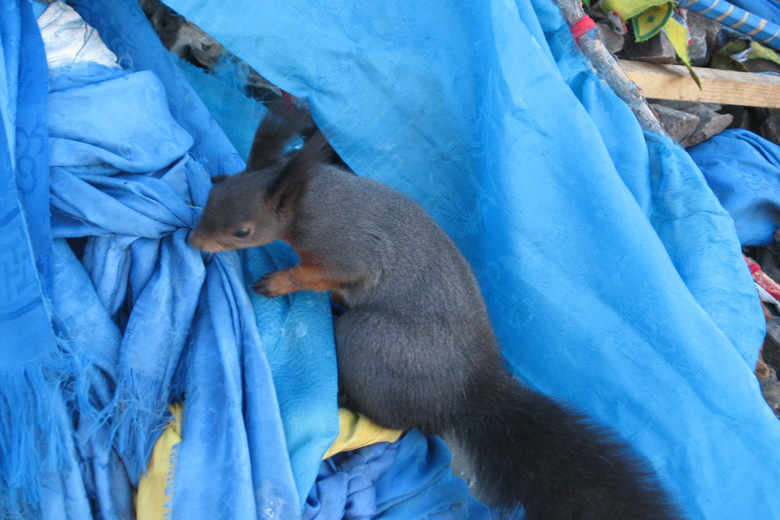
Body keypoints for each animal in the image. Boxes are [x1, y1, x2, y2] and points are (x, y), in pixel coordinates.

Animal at [187, 105, 684, 520]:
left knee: (399, 420)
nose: (194, 241)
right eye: (216, 189)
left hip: (372, 342)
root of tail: (469, 388)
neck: (311, 200)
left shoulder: (347, 253)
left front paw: (278, 282)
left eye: (241, 231)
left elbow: (322, 274)